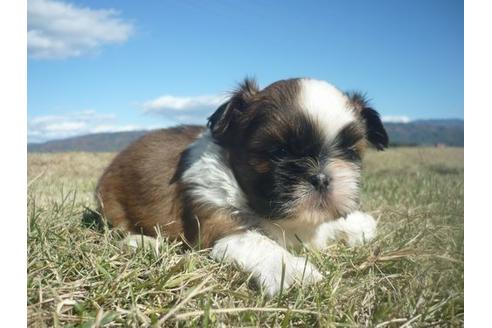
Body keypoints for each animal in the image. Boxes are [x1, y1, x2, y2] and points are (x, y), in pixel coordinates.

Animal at [96, 77, 388, 298]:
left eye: (349, 151)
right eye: (279, 151)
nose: (321, 178)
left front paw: (359, 224)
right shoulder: (219, 219)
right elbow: (259, 242)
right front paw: (293, 271)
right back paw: (143, 241)